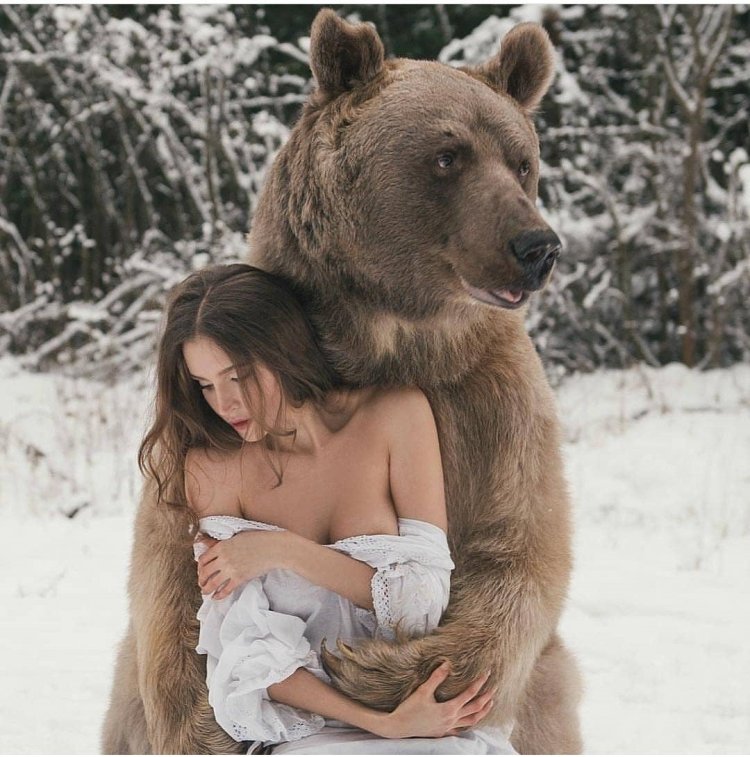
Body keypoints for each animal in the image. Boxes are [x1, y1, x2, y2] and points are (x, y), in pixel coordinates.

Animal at [102, 9, 582, 755]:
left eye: (522, 160)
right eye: (447, 155)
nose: (535, 246)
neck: (386, 342)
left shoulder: (490, 404)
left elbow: (519, 554)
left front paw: (374, 669)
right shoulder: (186, 470)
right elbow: (172, 578)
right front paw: (208, 723)